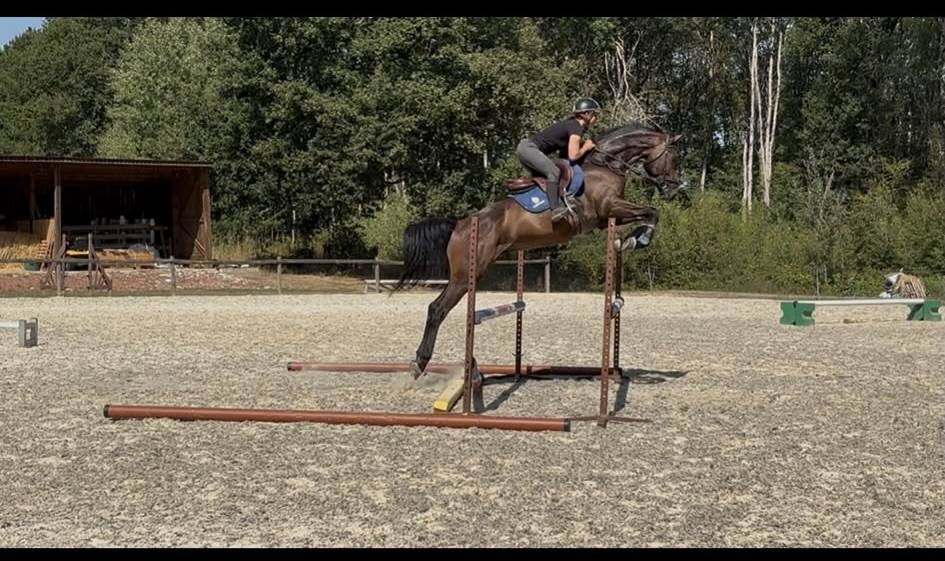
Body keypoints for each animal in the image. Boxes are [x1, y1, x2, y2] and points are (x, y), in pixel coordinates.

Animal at [395, 122, 686, 377]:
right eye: (673, 158)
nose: (673, 190)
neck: (606, 165)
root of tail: (459, 224)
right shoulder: (610, 207)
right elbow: (652, 211)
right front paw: (641, 239)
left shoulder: (607, 219)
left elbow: (648, 214)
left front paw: (630, 241)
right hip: (465, 275)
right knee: (437, 309)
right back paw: (420, 362)